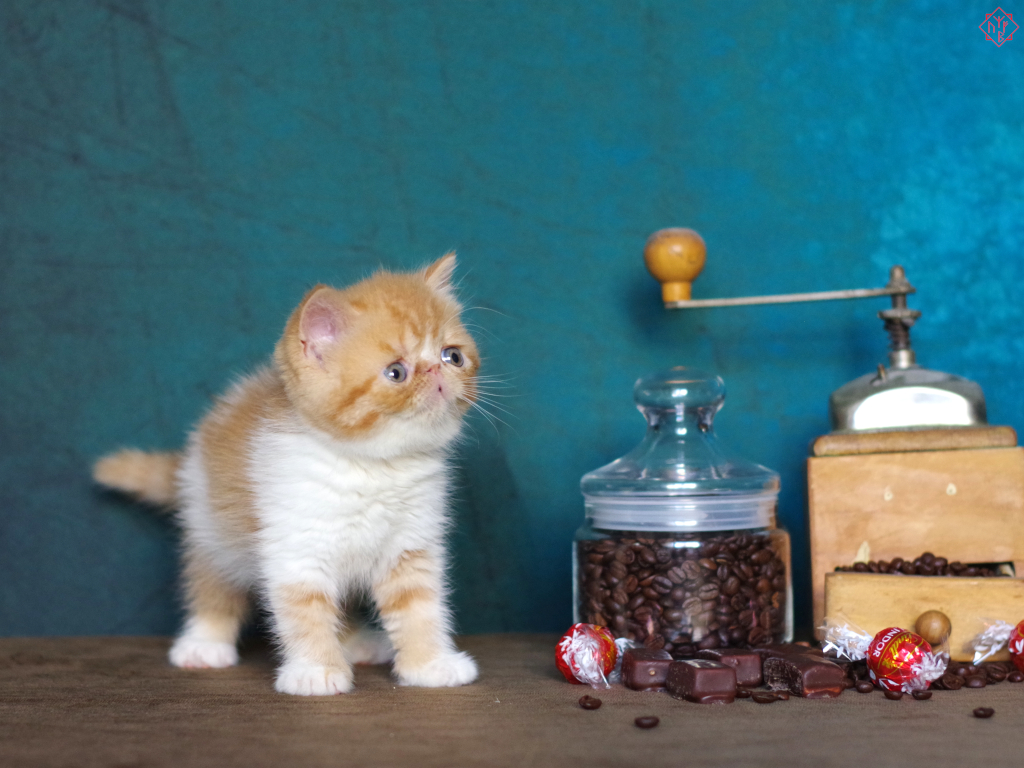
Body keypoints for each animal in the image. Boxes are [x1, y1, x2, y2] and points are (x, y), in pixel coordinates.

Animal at [93, 253, 480, 695]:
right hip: (211, 525)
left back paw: (355, 643)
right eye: (396, 372)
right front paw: (316, 670)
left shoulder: (411, 545)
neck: (372, 465)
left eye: (453, 356)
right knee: (212, 581)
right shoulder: (296, 545)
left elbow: (419, 608)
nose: (437, 372)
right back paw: (205, 642)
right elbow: (304, 610)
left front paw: (429, 665)